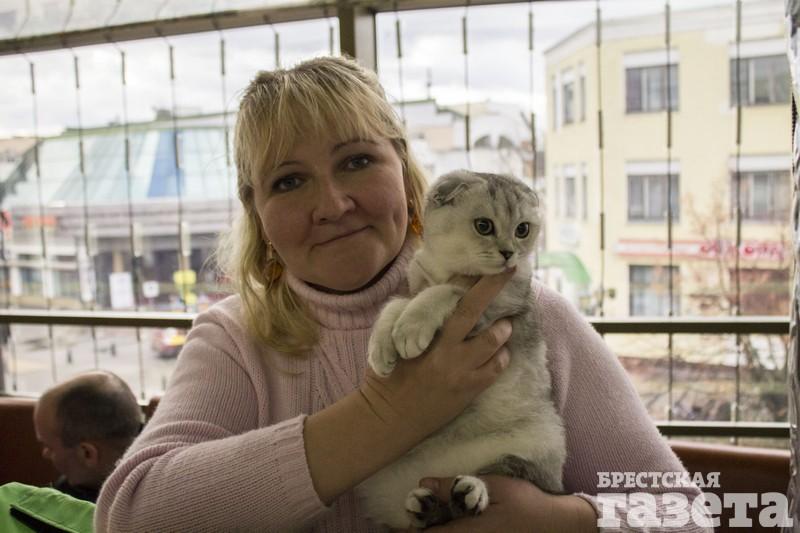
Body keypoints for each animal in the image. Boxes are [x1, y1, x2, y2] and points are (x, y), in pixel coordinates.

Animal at [357, 169, 567, 530]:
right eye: (483, 226)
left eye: (522, 229)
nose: (509, 253)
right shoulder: (416, 283)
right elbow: (397, 302)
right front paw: (381, 347)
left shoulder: (493, 312)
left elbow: (447, 290)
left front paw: (411, 328)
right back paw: (428, 505)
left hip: (543, 440)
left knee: (507, 474)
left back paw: (468, 494)